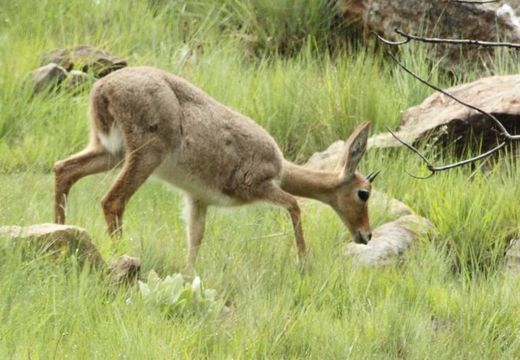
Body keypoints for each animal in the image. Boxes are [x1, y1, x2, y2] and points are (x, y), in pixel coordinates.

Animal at [53, 66, 378, 266]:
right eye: (364, 193)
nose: (367, 235)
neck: (282, 168)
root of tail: (103, 88)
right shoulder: (257, 185)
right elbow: (295, 205)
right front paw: (303, 263)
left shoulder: (197, 200)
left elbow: (195, 240)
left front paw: (189, 275)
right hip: (144, 156)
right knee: (112, 200)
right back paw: (121, 253)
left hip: (109, 151)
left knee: (63, 169)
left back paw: (59, 232)